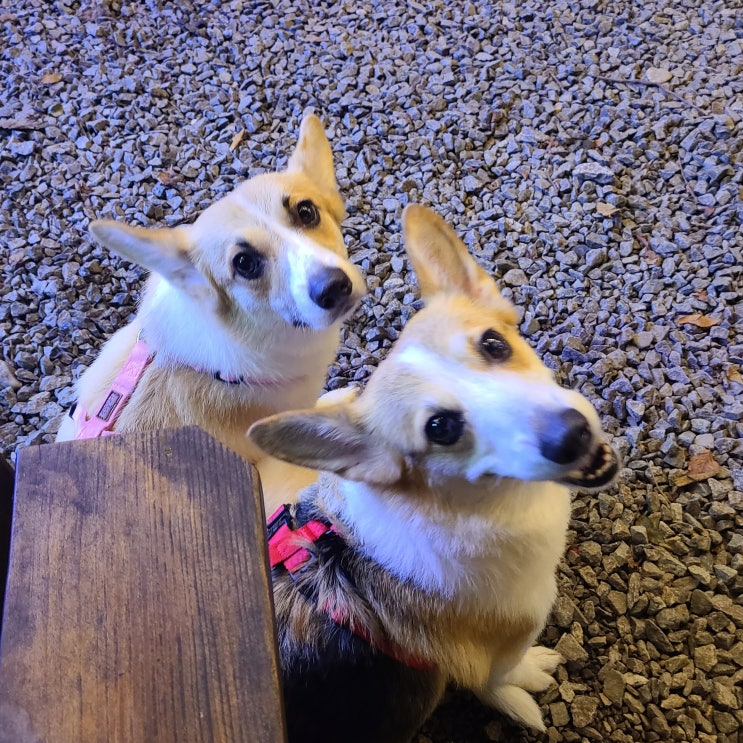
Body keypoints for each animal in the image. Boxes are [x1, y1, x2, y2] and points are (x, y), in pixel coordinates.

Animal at [248, 204, 620, 743]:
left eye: (494, 344)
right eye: (441, 428)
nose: (572, 436)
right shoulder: (497, 651)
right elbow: (502, 679)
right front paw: (526, 688)